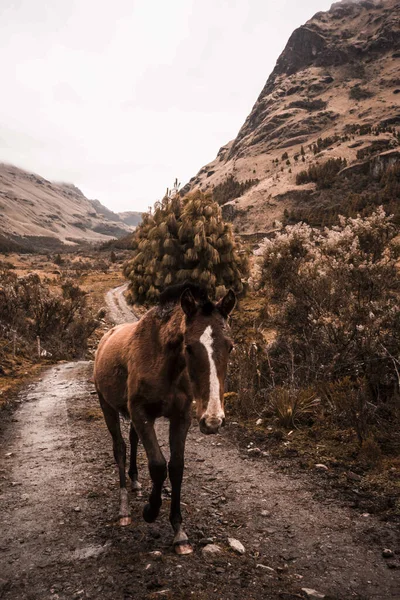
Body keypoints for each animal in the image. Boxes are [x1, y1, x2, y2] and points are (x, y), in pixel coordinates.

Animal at [94, 284, 236, 556]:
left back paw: (135, 482)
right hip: (107, 407)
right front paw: (150, 511)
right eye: (189, 347)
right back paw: (124, 509)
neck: (164, 363)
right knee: (120, 448)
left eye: (230, 346)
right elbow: (158, 465)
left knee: (132, 440)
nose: (212, 420)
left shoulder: (180, 418)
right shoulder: (141, 413)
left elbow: (176, 467)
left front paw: (179, 532)